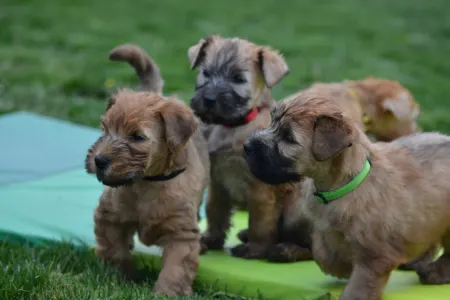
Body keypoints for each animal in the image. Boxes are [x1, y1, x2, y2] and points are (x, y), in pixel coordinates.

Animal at [85, 44, 210, 296]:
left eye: (137, 137)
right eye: (104, 128)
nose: (99, 160)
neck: (148, 182)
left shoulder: (181, 234)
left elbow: (175, 269)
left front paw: (167, 293)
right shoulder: (109, 217)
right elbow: (115, 250)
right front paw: (121, 278)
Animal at [188, 34, 300, 258]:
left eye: (238, 79)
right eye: (206, 73)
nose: (209, 99)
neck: (231, 126)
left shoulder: (260, 188)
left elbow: (259, 221)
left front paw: (254, 249)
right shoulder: (218, 183)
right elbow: (215, 212)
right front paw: (212, 238)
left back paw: (284, 250)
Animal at [244, 93, 450, 300]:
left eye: (288, 137)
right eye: (272, 122)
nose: (246, 145)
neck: (343, 185)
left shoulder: (373, 254)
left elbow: (360, 283)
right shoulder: (326, 231)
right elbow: (323, 255)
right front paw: (341, 267)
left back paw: (435, 272)